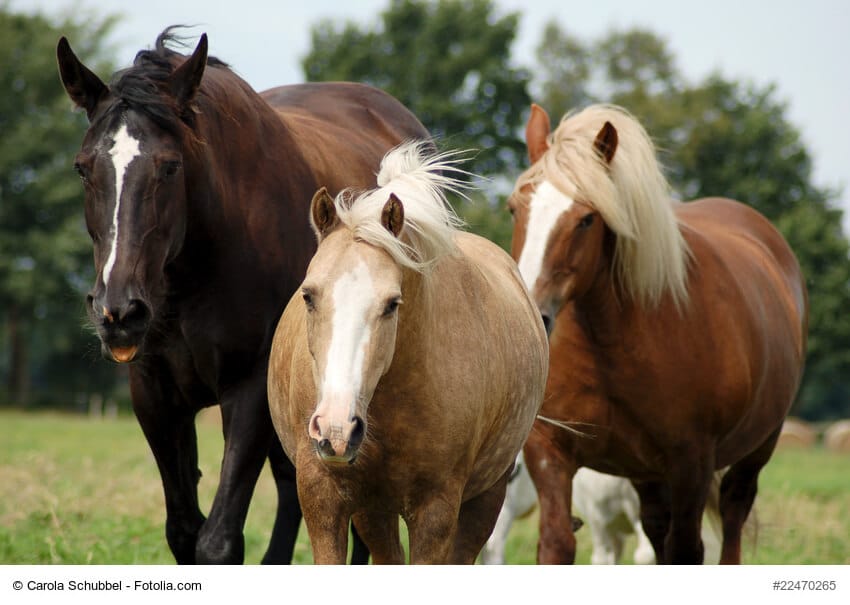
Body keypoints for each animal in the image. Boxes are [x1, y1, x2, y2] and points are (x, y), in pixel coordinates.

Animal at [56, 27, 430, 564]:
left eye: (170, 167)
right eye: (83, 168)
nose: (119, 312)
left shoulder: (249, 389)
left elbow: (219, 540)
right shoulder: (154, 394)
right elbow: (184, 531)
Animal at [267, 141, 549, 564]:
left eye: (391, 304)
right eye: (308, 295)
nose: (337, 429)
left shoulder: (436, 511)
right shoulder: (324, 498)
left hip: (486, 498)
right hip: (375, 511)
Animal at [507, 103, 808, 564]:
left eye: (587, 219)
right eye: (514, 209)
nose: (530, 314)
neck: (612, 345)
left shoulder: (691, 464)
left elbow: (686, 549)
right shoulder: (550, 451)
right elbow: (557, 542)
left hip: (757, 449)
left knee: (732, 518)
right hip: (644, 474)